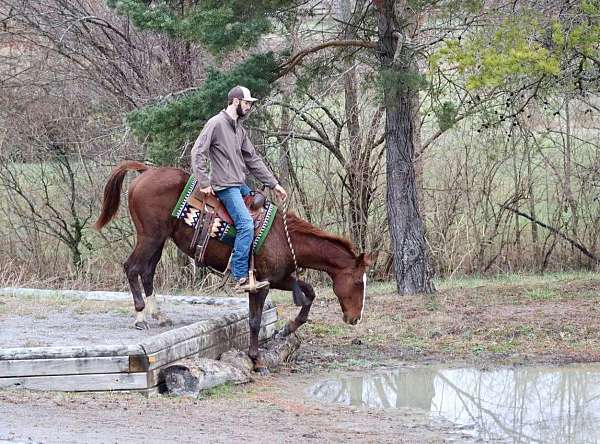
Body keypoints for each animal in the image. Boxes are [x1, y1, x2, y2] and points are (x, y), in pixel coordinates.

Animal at [94, 160, 370, 372]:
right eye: (358, 282)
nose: (355, 318)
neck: (282, 236)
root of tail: (146, 171)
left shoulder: (277, 278)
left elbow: (309, 292)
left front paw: (286, 329)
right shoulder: (260, 285)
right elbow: (254, 321)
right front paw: (257, 361)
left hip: (159, 240)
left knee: (148, 272)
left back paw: (159, 315)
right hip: (149, 237)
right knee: (132, 268)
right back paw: (141, 316)